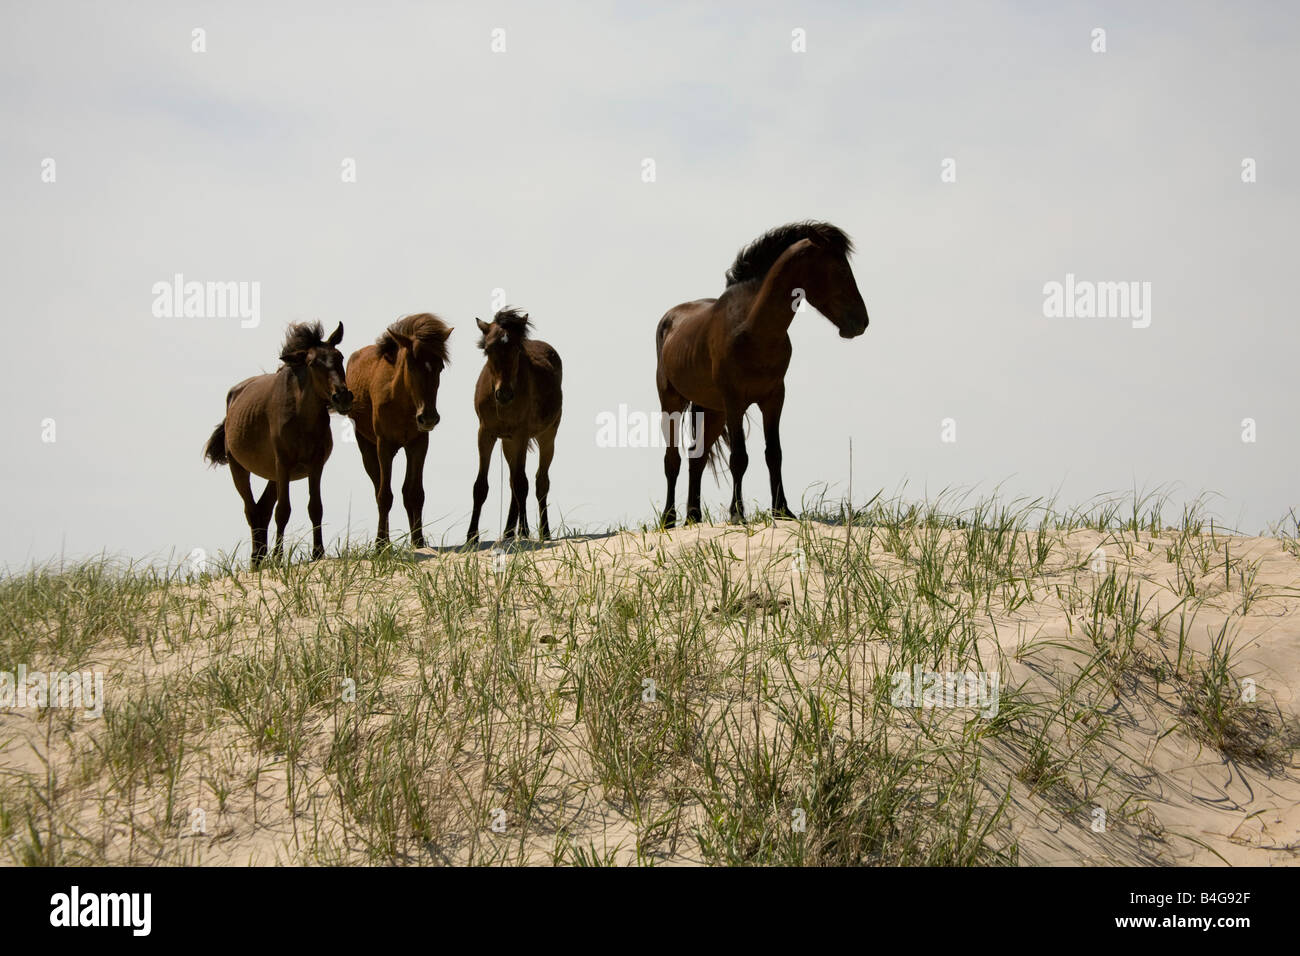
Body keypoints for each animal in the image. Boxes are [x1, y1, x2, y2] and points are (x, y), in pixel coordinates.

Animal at [200, 321, 351, 561]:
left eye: (340, 357)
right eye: (312, 363)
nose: (342, 397)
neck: (301, 418)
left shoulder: (315, 465)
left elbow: (315, 507)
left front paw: (318, 553)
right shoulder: (283, 463)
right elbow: (283, 511)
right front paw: (279, 557)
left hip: (273, 475)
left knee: (262, 510)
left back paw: (260, 557)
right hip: (240, 468)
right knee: (252, 510)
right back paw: (257, 556)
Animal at [343, 312, 454, 546]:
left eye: (440, 366)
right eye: (411, 366)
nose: (428, 417)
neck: (402, 402)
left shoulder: (418, 445)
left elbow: (415, 494)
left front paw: (419, 541)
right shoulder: (384, 445)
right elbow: (384, 496)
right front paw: (380, 544)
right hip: (367, 448)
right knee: (378, 486)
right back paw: (384, 539)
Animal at [470, 308, 566, 541]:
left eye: (516, 348)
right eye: (488, 348)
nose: (504, 394)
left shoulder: (522, 435)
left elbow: (523, 484)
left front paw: (524, 531)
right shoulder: (485, 434)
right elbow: (481, 486)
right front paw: (471, 536)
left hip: (547, 435)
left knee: (540, 482)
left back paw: (542, 532)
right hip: (508, 443)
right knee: (514, 481)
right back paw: (507, 532)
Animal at [655, 221, 868, 528]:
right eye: (840, 270)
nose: (862, 322)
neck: (754, 329)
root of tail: (670, 318)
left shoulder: (774, 398)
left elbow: (774, 454)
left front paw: (783, 510)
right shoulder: (734, 400)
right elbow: (739, 458)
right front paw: (737, 513)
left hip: (712, 410)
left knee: (697, 458)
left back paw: (693, 518)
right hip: (673, 402)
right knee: (672, 460)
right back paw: (669, 519)